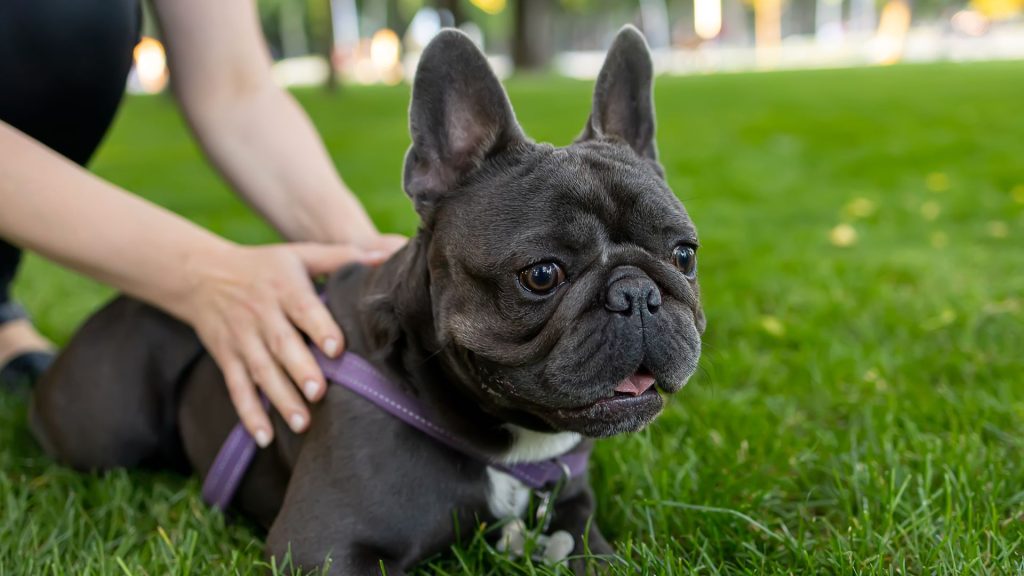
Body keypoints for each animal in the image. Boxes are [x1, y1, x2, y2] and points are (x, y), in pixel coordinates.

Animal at [32, 24, 704, 569]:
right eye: (542, 275)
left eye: (684, 256)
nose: (637, 295)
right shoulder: (322, 546)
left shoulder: (575, 521)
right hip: (110, 425)